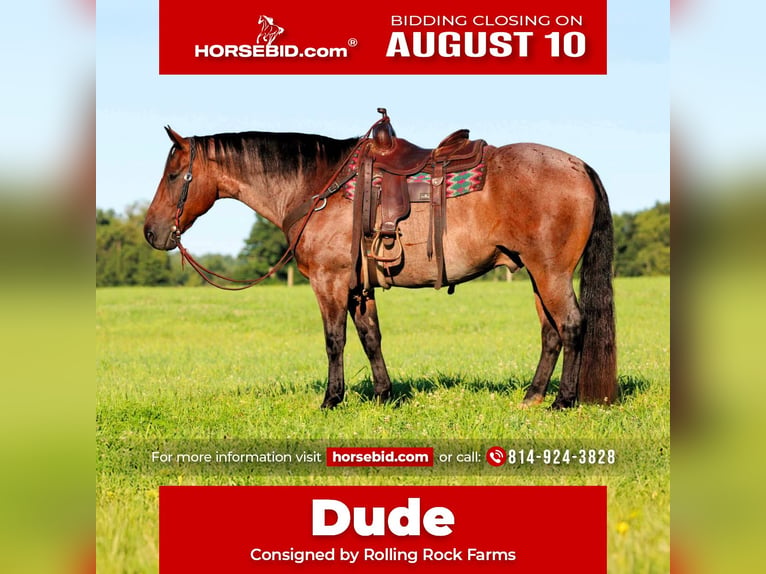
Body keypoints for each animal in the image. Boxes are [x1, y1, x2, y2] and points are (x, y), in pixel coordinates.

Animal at [143, 121, 617, 410]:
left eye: (173, 176)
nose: (151, 232)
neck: (318, 188)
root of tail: (578, 164)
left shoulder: (330, 283)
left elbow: (334, 340)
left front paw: (331, 399)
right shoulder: (358, 287)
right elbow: (371, 337)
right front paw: (384, 395)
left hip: (551, 272)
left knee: (572, 325)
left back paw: (562, 401)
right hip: (536, 273)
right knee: (551, 333)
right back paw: (533, 395)